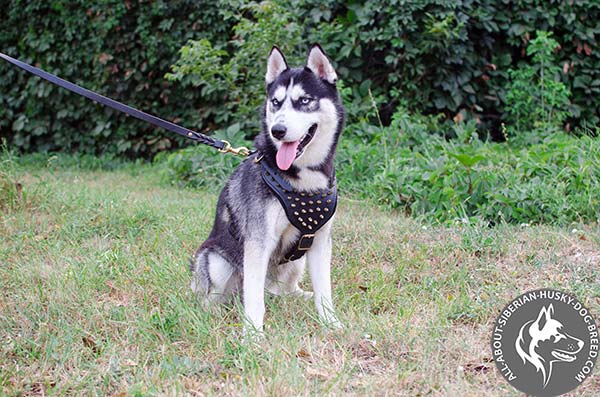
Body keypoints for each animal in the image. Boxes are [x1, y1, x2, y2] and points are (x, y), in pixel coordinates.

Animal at [190, 44, 344, 332]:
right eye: (275, 102)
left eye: (304, 101)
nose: (278, 130)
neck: (302, 177)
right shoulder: (258, 242)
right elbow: (254, 301)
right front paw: (252, 335)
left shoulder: (319, 241)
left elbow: (325, 293)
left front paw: (332, 323)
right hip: (216, 261)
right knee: (216, 297)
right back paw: (212, 314)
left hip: (297, 262)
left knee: (282, 289)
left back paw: (299, 295)